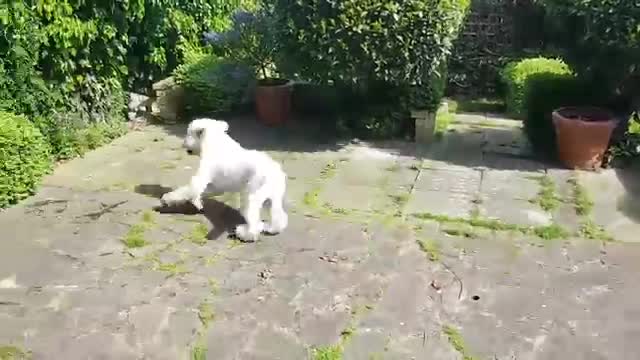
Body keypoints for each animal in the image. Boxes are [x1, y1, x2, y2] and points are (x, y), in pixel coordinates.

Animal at [160, 119, 290, 242]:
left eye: (188, 134)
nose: (183, 144)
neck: (216, 142)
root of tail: (275, 173)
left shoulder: (203, 174)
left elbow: (190, 189)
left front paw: (166, 199)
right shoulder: (216, 186)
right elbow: (202, 191)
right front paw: (196, 202)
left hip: (252, 195)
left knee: (254, 222)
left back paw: (243, 233)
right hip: (272, 198)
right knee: (278, 216)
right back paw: (271, 229)